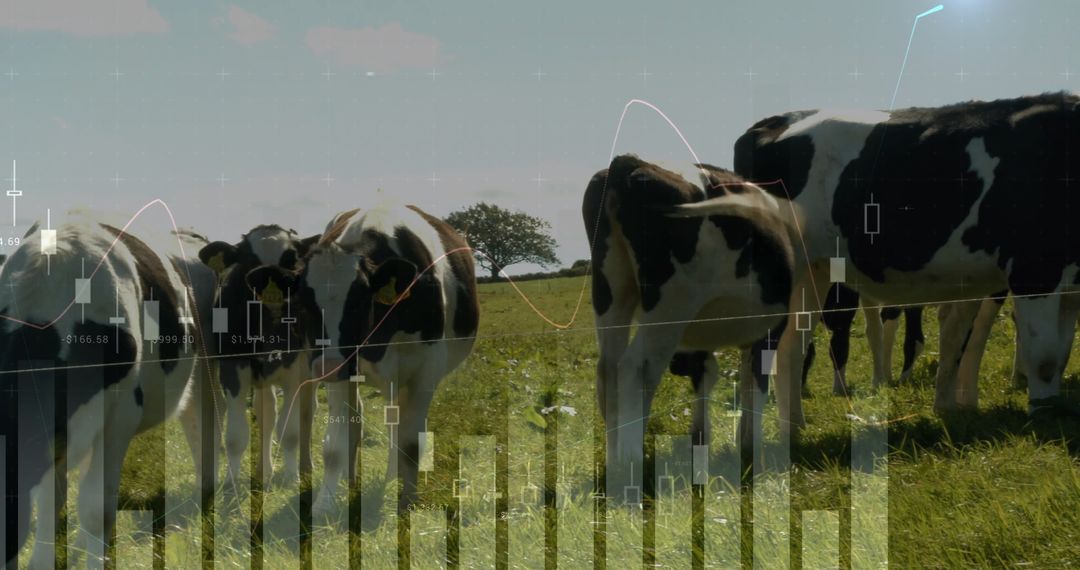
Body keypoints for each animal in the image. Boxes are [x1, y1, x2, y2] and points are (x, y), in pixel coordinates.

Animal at [197, 226, 320, 490]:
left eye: (291, 259)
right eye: (248, 261)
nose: (272, 292)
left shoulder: (295, 371)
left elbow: (290, 431)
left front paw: (291, 477)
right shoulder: (233, 368)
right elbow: (236, 435)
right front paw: (231, 482)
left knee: (307, 413)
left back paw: (305, 467)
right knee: (267, 415)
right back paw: (264, 472)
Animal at [244, 204, 479, 518]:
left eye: (357, 301)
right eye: (303, 303)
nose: (328, 366)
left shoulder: (424, 372)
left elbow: (410, 443)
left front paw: (406, 502)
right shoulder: (339, 374)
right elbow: (334, 445)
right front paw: (325, 503)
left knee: (396, 427)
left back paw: (392, 477)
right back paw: (352, 477)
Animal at [584, 154, 798, 497]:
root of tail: (628, 162)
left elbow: (710, 376)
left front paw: (704, 438)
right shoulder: (770, 330)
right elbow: (757, 383)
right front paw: (751, 447)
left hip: (611, 294)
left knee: (608, 370)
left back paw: (614, 459)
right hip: (671, 306)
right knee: (635, 368)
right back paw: (631, 463)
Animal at [679, 92, 1080, 439]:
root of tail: (772, 122)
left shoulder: (1069, 285)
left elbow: (1060, 354)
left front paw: (1052, 410)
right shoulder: (1034, 269)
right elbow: (1044, 356)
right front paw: (1042, 417)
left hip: (814, 271)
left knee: (791, 346)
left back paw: (793, 426)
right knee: (761, 351)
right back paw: (752, 439)